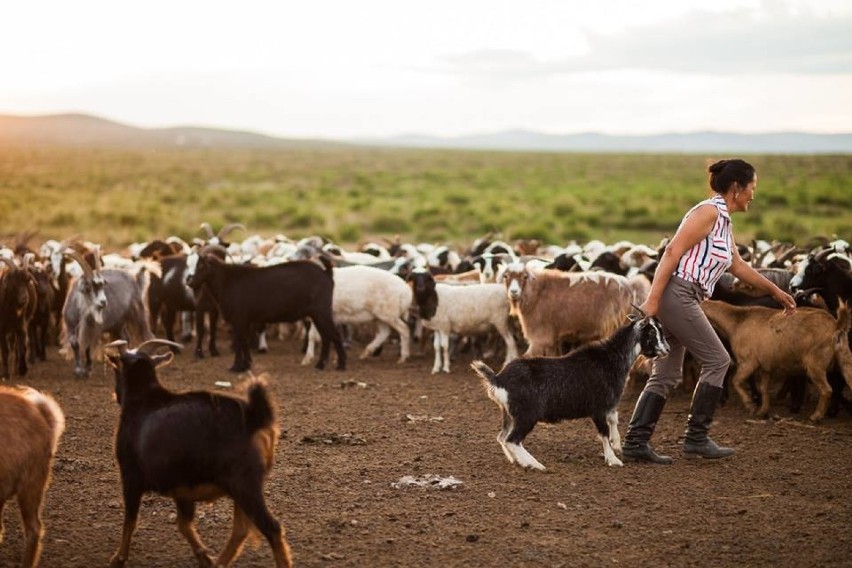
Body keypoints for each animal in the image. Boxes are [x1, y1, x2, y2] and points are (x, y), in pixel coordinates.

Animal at [105, 340, 292, 564]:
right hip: (241, 488)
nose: (115, 394)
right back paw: (219, 562)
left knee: (272, 528)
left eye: (115, 368)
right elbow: (184, 524)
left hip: (245, 485)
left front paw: (118, 557)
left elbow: (130, 520)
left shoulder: (130, 476)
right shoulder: (181, 487)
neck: (144, 400)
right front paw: (204, 556)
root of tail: (254, 416)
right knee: (241, 529)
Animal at [188, 253, 344, 372]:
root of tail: (326, 273)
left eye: (201, 266)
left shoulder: (238, 318)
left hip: (322, 312)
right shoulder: (244, 320)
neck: (226, 281)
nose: (190, 282)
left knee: (335, 335)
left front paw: (236, 367)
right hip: (317, 314)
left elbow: (239, 342)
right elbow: (244, 341)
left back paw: (340, 366)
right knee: (326, 337)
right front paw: (246, 364)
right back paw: (320, 365)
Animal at [700, 302, 852, 422]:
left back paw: (816, 416)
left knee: (826, 390)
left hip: (815, 365)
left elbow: (736, 381)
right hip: (844, 358)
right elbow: (764, 388)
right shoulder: (765, 367)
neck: (737, 322)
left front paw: (750, 405)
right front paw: (762, 411)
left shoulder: (748, 362)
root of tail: (836, 325)